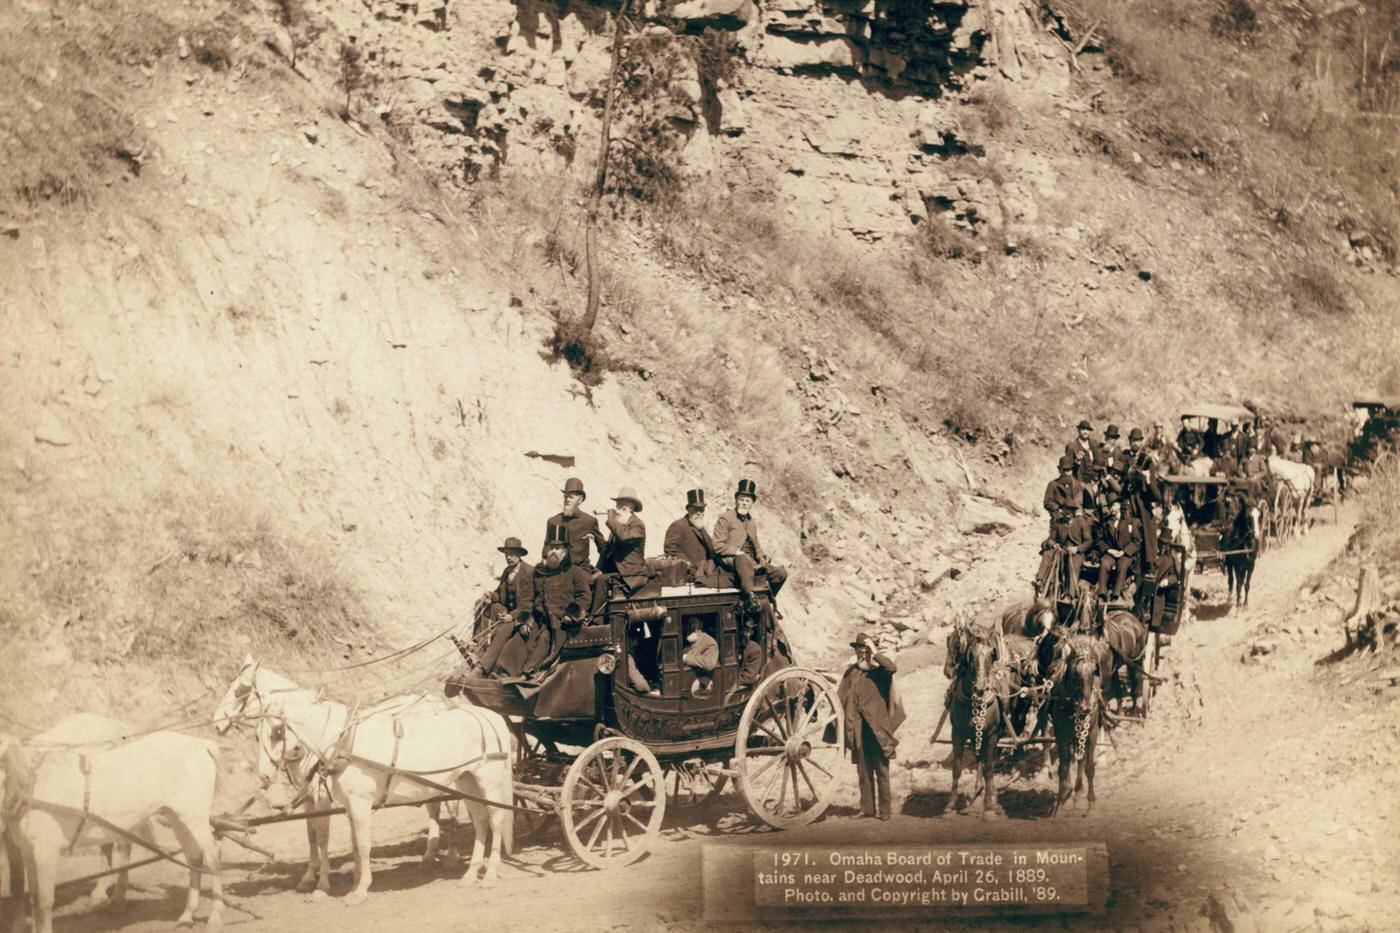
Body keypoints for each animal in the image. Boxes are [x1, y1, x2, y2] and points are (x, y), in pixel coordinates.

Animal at [1, 714, 224, 924]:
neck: (34, 783)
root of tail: (202, 745)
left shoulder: (45, 853)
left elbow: (40, 902)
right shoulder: (27, 852)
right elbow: (27, 894)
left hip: (194, 818)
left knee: (213, 857)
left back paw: (215, 915)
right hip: (176, 816)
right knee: (194, 857)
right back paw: (186, 914)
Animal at [212, 652, 509, 902]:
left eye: (239, 691)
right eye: (256, 735)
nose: (216, 722)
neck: (339, 741)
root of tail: (493, 718)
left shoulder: (346, 801)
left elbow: (347, 842)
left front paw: (345, 888)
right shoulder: (335, 802)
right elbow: (338, 840)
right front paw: (336, 880)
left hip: (489, 783)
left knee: (494, 821)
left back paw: (486, 873)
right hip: (465, 781)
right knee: (478, 821)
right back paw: (467, 873)